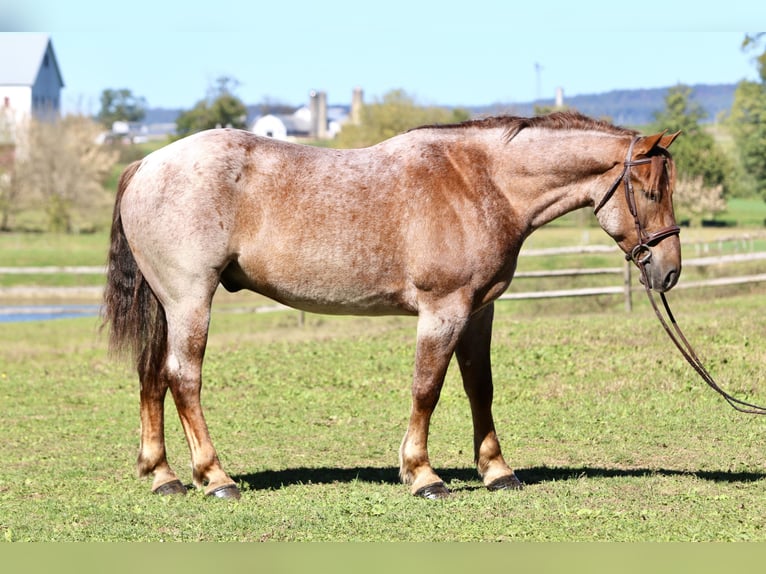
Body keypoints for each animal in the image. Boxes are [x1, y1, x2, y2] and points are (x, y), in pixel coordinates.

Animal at [102, 110, 681, 500]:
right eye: (652, 192)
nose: (668, 271)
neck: (480, 182)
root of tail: (145, 164)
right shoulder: (443, 311)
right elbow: (427, 389)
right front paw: (423, 476)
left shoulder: (479, 312)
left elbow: (480, 388)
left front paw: (497, 472)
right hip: (190, 301)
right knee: (184, 379)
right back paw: (215, 478)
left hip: (167, 306)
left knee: (151, 377)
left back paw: (163, 476)